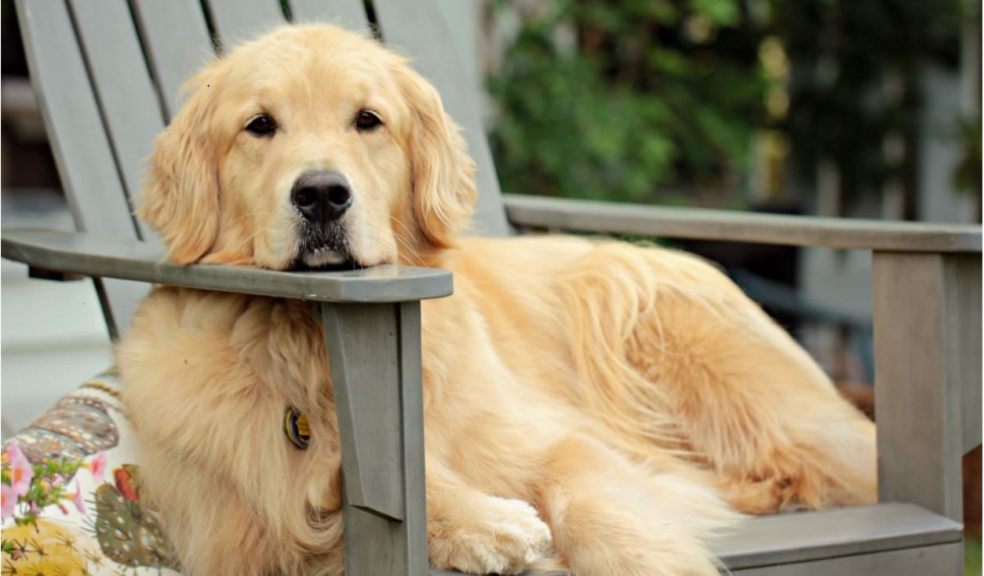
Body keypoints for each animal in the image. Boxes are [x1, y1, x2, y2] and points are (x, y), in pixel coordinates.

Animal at [115, 24, 876, 576]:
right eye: (259, 125)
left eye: (368, 120)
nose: (322, 194)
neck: (309, 340)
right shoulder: (235, 526)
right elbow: (337, 493)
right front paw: (484, 523)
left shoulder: (557, 442)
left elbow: (597, 508)